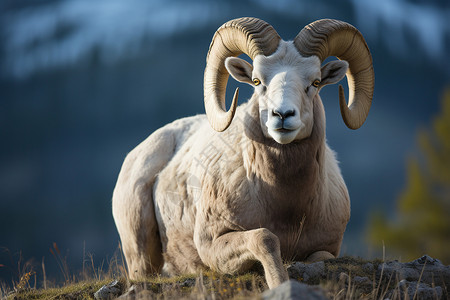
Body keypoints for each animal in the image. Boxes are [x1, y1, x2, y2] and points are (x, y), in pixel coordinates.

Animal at [111, 17, 372, 290]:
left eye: (316, 82)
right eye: (257, 81)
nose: (282, 115)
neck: (285, 208)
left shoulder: (327, 249)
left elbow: (317, 256)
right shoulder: (214, 244)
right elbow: (264, 238)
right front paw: (279, 283)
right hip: (140, 254)